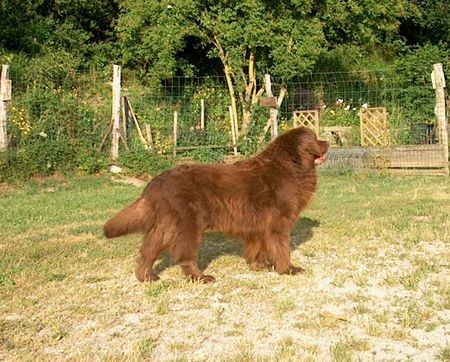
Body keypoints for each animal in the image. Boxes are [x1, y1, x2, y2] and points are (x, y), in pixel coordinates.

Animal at [106, 127, 330, 282]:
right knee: (185, 255)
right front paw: (288, 269)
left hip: (165, 224)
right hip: (189, 224)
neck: (290, 165)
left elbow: (258, 246)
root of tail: (156, 182)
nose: (327, 142)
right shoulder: (278, 223)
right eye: (315, 138)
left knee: (149, 248)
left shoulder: (258, 224)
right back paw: (200, 277)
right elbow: (281, 248)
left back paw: (146, 276)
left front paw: (259, 266)